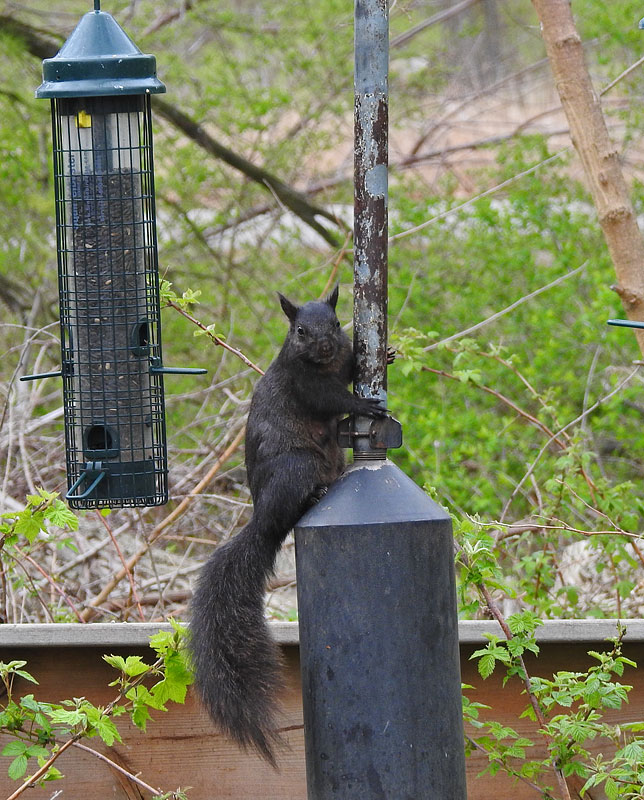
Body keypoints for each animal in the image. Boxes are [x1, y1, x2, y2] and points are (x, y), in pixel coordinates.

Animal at [188, 285, 388, 765]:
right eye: (299, 330)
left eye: (337, 323)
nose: (325, 345)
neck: (322, 365)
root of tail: (261, 521)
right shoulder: (305, 384)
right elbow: (331, 399)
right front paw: (361, 404)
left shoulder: (344, 359)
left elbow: (352, 368)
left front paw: (387, 354)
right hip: (297, 469)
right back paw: (313, 496)